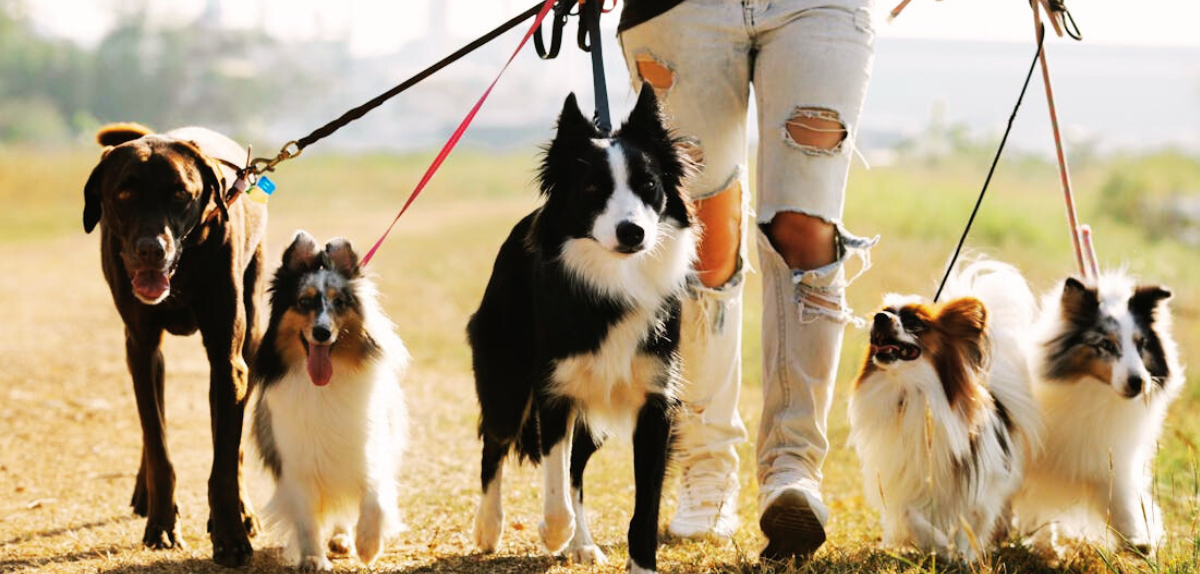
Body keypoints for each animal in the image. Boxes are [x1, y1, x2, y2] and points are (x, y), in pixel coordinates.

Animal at [85, 123, 270, 566]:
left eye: (181, 194)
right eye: (124, 194)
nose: (151, 249)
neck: (184, 267)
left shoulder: (228, 359)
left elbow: (225, 461)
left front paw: (231, 535)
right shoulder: (140, 345)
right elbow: (157, 444)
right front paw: (162, 523)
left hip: (250, 338)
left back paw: (242, 510)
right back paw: (145, 493)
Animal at [250, 230, 410, 571]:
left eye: (339, 302)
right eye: (304, 302)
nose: (322, 333)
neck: (323, 386)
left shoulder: (367, 450)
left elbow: (375, 498)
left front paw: (367, 545)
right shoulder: (295, 463)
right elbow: (307, 521)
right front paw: (313, 558)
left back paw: (344, 539)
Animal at [468, 86, 696, 574]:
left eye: (649, 185)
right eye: (592, 188)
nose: (632, 232)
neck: (614, 279)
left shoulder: (656, 400)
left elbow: (644, 505)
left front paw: (637, 562)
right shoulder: (555, 390)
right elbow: (553, 480)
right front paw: (553, 533)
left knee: (575, 467)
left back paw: (582, 543)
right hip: (506, 378)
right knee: (494, 443)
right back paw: (489, 527)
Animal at [854, 261, 1041, 561]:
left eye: (915, 322)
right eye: (884, 312)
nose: (880, 318)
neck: (910, 392)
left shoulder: (980, 486)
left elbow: (970, 523)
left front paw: (962, 555)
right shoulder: (904, 478)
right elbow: (909, 514)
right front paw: (940, 545)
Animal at [1012, 273, 1180, 557]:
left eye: (1141, 344)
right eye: (1106, 344)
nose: (1139, 382)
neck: (1094, 393)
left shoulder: (1107, 459)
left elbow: (1121, 501)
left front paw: (1139, 540)